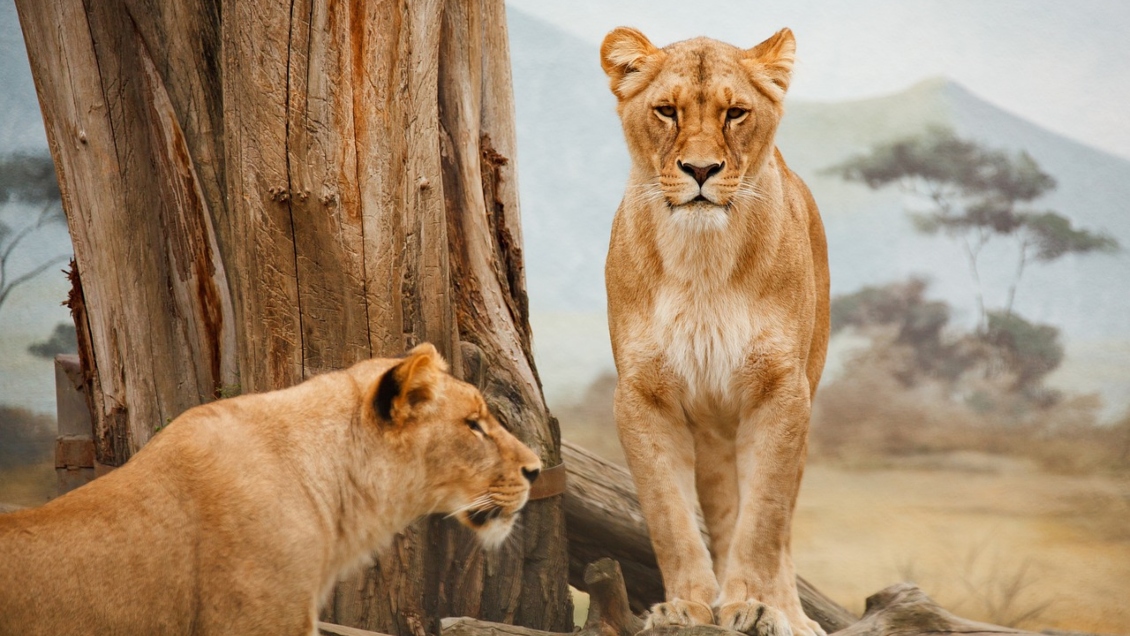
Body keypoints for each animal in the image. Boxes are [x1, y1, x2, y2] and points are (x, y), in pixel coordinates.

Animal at [600, 27, 830, 636]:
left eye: (735, 113)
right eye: (666, 110)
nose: (700, 171)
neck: (702, 259)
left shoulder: (781, 391)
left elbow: (765, 519)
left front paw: (755, 606)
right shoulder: (643, 395)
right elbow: (669, 515)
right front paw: (685, 605)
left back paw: (790, 614)